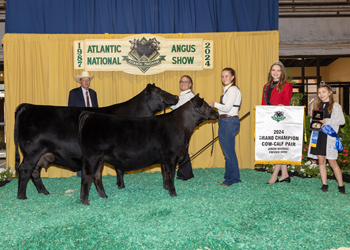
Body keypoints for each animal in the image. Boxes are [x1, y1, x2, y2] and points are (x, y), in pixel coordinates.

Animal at [14, 84, 178, 199]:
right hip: (33, 151)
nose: (176, 96)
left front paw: (119, 185)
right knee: (25, 170)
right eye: (158, 91)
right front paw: (121, 186)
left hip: (41, 154)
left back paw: (44, 192)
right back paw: (22, 196)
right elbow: (120, 169)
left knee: (34, 171)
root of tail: (27, 106)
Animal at [78, 94, 219, 205]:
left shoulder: (165, 159)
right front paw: (173, 193)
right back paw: (85, 201)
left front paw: (166, 188)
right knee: (87, 176)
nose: (217, 113)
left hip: (100, 159)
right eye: (205, 106)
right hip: (92, 157)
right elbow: (171, 174)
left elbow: (165, 174)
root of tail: (90, 114)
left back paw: (104, 196)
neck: (183, 126)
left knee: (97, 176)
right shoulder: (171, 157)